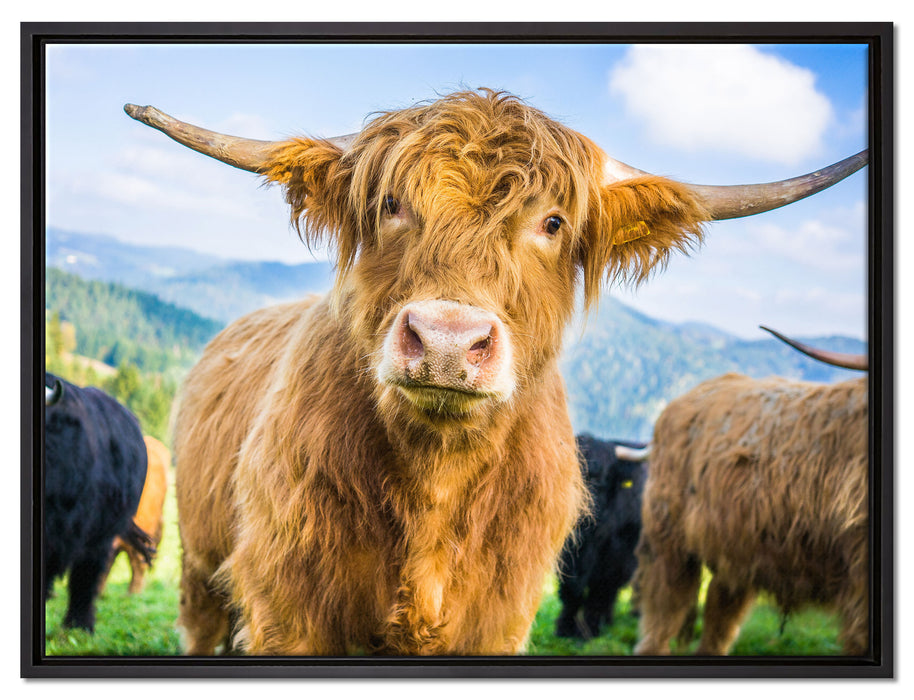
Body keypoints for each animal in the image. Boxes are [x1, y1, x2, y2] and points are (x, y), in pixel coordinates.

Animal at [555, 435, 648, 640]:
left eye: (602, 480)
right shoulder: (568, 557)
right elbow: (571, 593)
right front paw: (564, 629)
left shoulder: (615, 559)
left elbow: (599, 594)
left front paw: (588, 632)